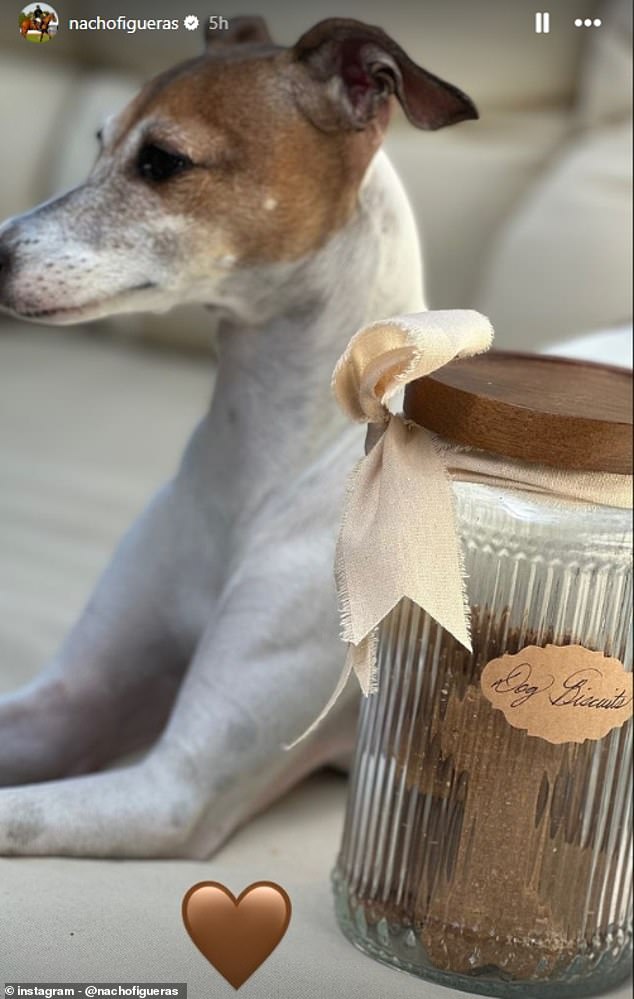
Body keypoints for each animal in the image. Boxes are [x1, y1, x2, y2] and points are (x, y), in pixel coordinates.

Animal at [0, 15, 474, 860]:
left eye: (162, 161)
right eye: (98, 140)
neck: (259, 466)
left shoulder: (173, 789)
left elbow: (15, 810)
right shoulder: (71, 698)